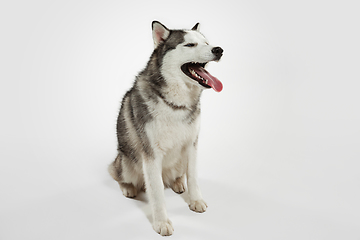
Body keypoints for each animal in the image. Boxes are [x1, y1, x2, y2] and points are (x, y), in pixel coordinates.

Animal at [108, 21, 224, 236]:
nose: (219, 50)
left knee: (177, 175)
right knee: (117, 173)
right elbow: (157, 192)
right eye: (190, 45)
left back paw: (178, 183)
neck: (175, 104)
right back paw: (128, 187)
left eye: (206, 43)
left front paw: (195, 200)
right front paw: (161, 222)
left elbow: (193, 177)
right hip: (126, 161)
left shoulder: (192, 145)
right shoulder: (151, 154)